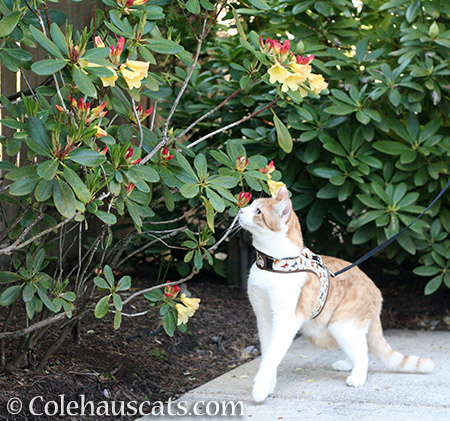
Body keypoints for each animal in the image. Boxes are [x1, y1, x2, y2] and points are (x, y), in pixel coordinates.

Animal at [239, 186, 436, 400]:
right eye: (251, 205)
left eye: (258, 212)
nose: (240, 210)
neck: (273, 263)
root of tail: (376, 290)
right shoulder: (264, 318)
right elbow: (268, 353)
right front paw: (269, 385)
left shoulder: (286, 320)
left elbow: (272, 356)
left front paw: (260, 388)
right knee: (358, 347)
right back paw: (347, 365)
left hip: (341, 325)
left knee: (363, 351)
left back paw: (357, 376)